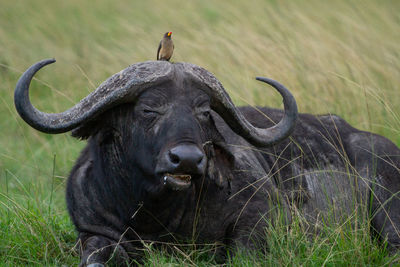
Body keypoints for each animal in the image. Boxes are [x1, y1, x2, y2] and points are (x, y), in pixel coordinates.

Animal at [14, 59, 398, 266]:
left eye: (202, 111)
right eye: (148, 109)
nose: (186, 159)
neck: (157, 215)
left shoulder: (262, 214)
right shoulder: (93, 231)